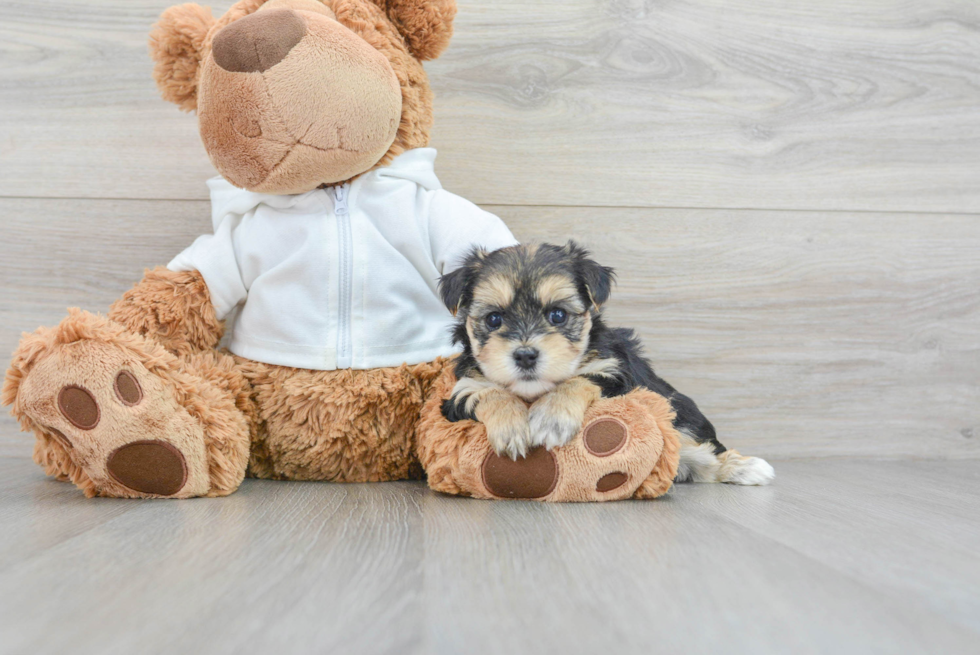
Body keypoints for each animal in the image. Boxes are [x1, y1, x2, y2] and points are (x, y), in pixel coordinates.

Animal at [442, 243, 772, 484]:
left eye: (558, 315)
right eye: (494, 319)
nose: (525, 355)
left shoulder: (615, 372)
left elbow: (579, 379)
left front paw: (551, 418)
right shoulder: (461, 390)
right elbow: (488, 391)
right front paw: (511, 428)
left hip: (682, 413)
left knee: (697, 447)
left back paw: (745, 467)